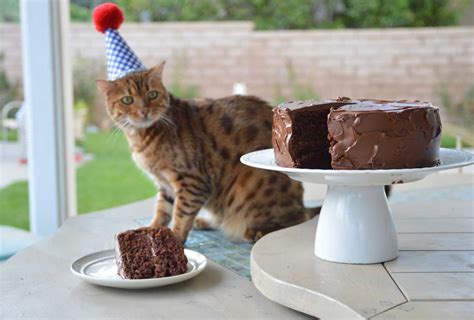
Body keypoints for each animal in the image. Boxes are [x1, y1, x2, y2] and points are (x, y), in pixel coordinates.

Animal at [96, 61, 318, 242]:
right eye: (127, 100)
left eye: (152, 94)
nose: (143, 111)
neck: (142, 137)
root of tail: (301, 202)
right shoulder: (165, 185)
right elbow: (162, 211)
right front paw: (152, 231)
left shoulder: (192, 181)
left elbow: (181, 214)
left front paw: (175, 240)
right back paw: (205, 222)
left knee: (297, 217)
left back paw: (256, 231)